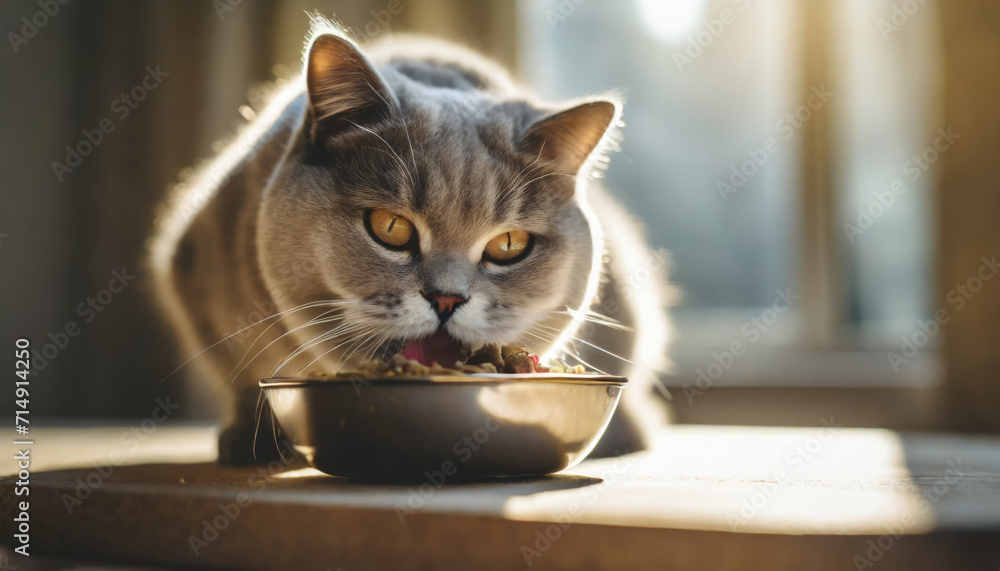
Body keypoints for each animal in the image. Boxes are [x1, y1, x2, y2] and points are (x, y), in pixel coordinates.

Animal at [150, 21, 672, 464]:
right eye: (390, 227)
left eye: (508, 245)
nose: (446, 299)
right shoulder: (193, 268)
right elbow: (238, 375)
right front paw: (250, 441)